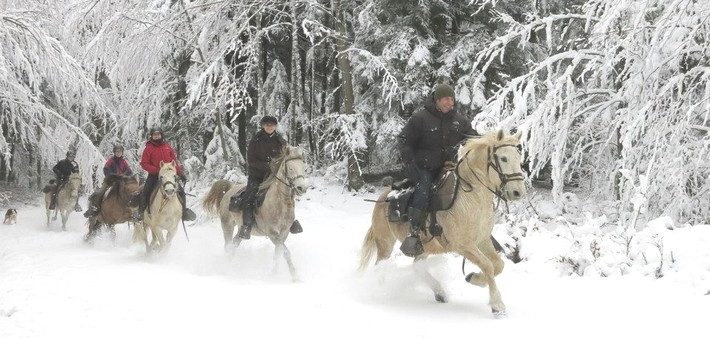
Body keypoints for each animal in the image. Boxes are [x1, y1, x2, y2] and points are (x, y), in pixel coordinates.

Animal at [203, 147, 308, 282]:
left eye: (303, 166)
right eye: (290, 168)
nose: (302, 188)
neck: (280, 203)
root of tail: (230, 188)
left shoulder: (283, 234)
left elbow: (278, 253)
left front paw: (274, 274)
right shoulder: (272, 233)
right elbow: (285, 252)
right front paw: (295, 277)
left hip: (241, 229)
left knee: (234, 244)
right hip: (227, 226)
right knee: (227, 246)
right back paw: (227, 268)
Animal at [364, 131, 524, 316]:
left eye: (519, 157)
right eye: (504, 158)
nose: (518, 192)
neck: (471, 198)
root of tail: (383, 197)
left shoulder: (482, 241)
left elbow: (498, 265)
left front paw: (474, 278)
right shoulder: (463, 245)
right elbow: (488, 265)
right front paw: (497, 304)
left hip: (424, 248)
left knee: (417, 266)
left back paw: (439, 293)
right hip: (385, 243)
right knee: (380, 266)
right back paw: (381, 292)